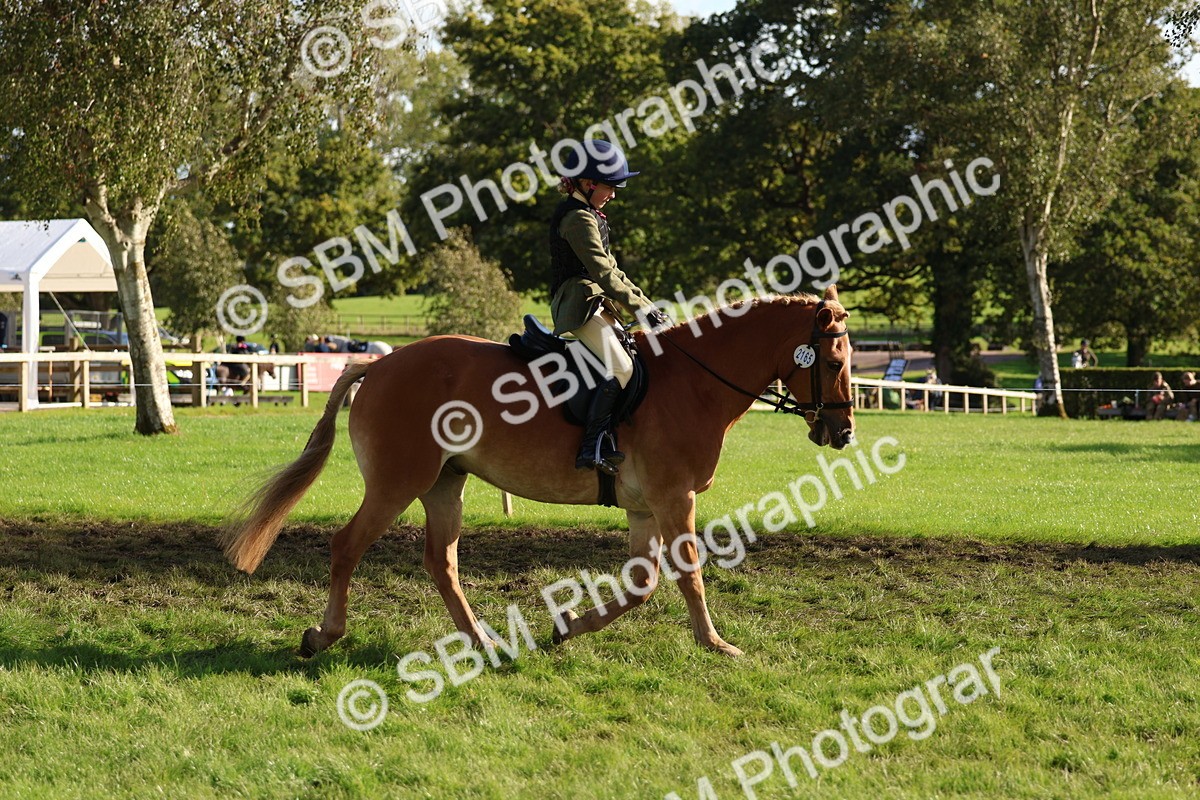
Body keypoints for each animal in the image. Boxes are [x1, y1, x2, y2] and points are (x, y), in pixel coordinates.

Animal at [224, 285, 855, 658]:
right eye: (832, 361)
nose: (843, 432)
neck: (695, 383)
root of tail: (379, 364)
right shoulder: (675, 498)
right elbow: (689, 574)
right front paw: (716, 643)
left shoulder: (645, 506)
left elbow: (643, 583)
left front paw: (568, 624)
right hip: (396, 484)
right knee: (347, 546)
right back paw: (324, 635)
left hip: (444, 485)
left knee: (441, 562)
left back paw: (480, 639)